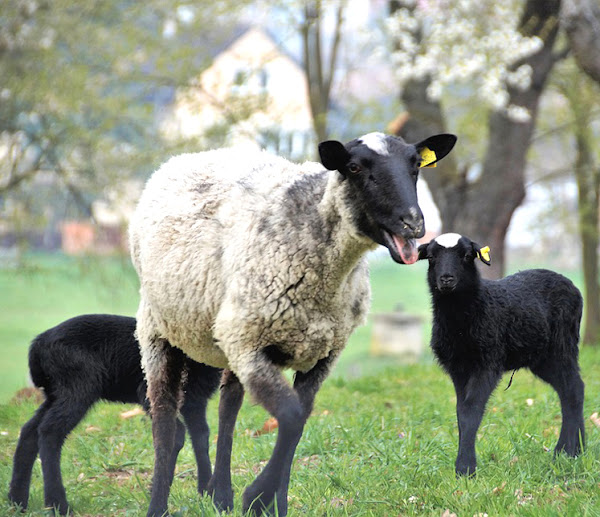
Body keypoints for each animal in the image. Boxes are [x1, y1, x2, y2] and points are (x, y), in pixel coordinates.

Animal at [6, 312, 223, 512]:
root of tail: (38, 344)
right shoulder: (148, 391)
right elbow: (175, 434)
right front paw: (158, 493)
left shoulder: (195, 401)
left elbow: (201, 436)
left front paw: (206, 492)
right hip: (78, 386)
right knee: (50, 431)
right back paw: (58, 505)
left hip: (55, 392)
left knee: (29, 431)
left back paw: (17, 501)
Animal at [129, 131, 458, 512]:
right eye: (354, 167)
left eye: (416, 165)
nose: (413, 223)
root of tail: (184, 158)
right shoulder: (251, 346)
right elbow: (289, 416)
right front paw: (257, 497)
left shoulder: (322, 353)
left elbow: (298, 421)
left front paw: (274, 503)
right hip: (161, 330)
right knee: (165, 421)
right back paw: (159, 504)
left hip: (230, 334)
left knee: (228, 407)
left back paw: (221, 495)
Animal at [418, 234, 584, 476]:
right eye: (431, 257)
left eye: (467, 256)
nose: (446, 279)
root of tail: (572, 286)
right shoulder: (459, 368)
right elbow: (460, 412)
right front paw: (463, 465)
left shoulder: (487, 363)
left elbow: (471, 411)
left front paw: (465, 468)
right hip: (542, 358)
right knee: (571, 389)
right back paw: (578, 449)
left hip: (562, 346)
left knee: (572, 390)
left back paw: (566, 451)